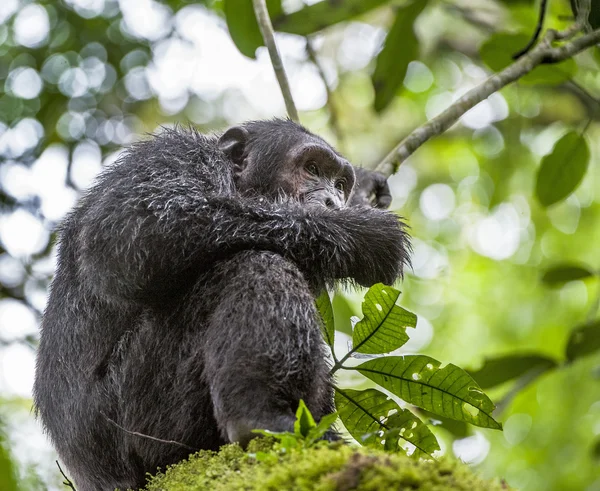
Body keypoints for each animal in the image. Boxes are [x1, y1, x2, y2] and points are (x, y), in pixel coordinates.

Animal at [34, 120, 412, 491]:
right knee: (254, 264)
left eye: (340, 183)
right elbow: (132, 225)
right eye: (312, 169)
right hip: (142, 416)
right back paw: (260, 419)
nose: (334, 200)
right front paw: (360, 230)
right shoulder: (168, 156)